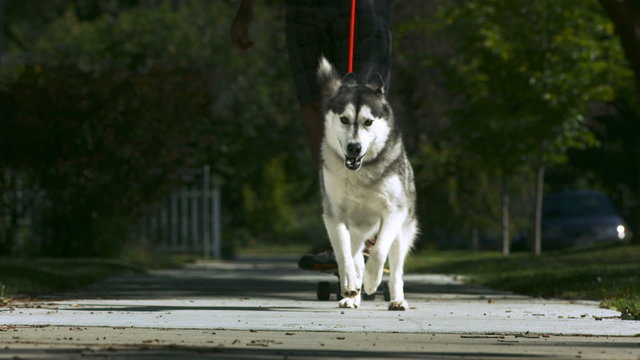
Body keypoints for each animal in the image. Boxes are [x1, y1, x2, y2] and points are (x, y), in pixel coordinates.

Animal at [316, 57, 418, 310]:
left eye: (368, 122)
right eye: (344, 119)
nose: (354, 148)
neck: (359, 172)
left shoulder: (394, 212)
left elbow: (380, 251)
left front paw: (372, 281)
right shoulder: (334, 215)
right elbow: (343, 255)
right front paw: (350, 285)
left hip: (402, 232)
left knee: (396, 268)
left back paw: (397, 299)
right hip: (356, 231)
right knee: (355, 258)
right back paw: (351, 294)